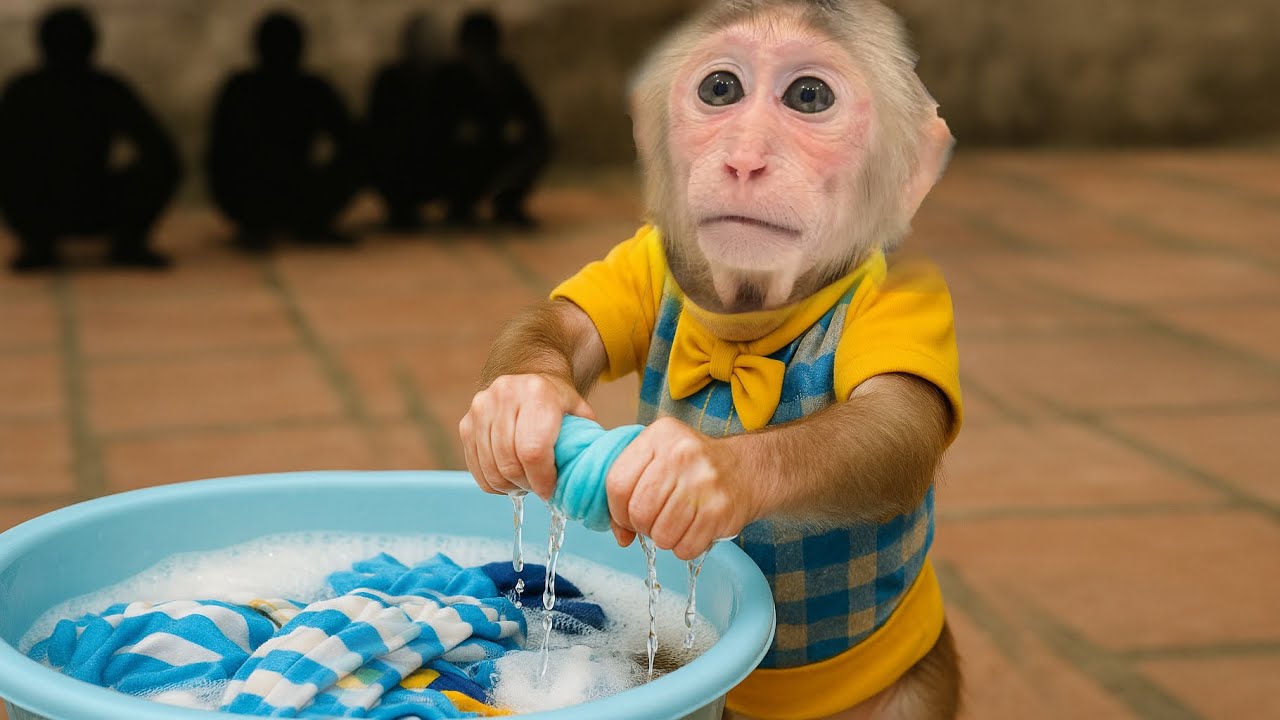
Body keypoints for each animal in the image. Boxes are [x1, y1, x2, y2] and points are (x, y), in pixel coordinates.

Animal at [459, 1, 962, 718]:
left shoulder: (905, 304)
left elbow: (889, 427)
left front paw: (700, 474)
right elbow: (569, 322)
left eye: (810, 97)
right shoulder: (649, 256)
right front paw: (517, 407)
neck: (748, 330)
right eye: (719, 89)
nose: (745, 160)